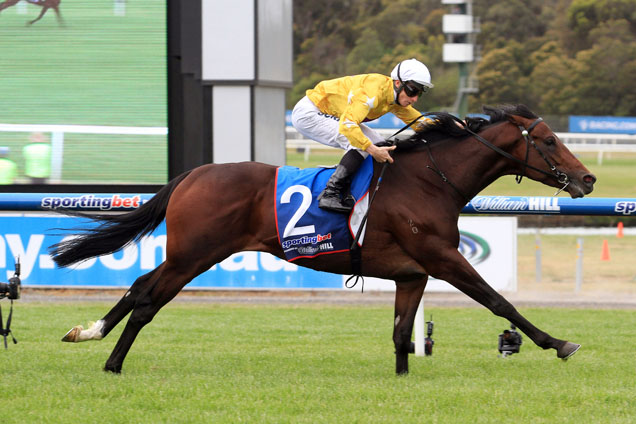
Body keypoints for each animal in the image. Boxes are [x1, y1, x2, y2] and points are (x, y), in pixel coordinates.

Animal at [51, 103, 596, 374]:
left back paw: (88, 333)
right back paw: (112, 362)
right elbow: (500, 301)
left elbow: (401, 332)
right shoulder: (442, 258)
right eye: (549, 141)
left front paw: (403, 378)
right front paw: (559, 343)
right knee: (148, 298)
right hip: (195, 254)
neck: (430, 181)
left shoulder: (412, 273)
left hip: (190, 252)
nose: (588, 179)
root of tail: (193, 174)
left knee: (139, 285)